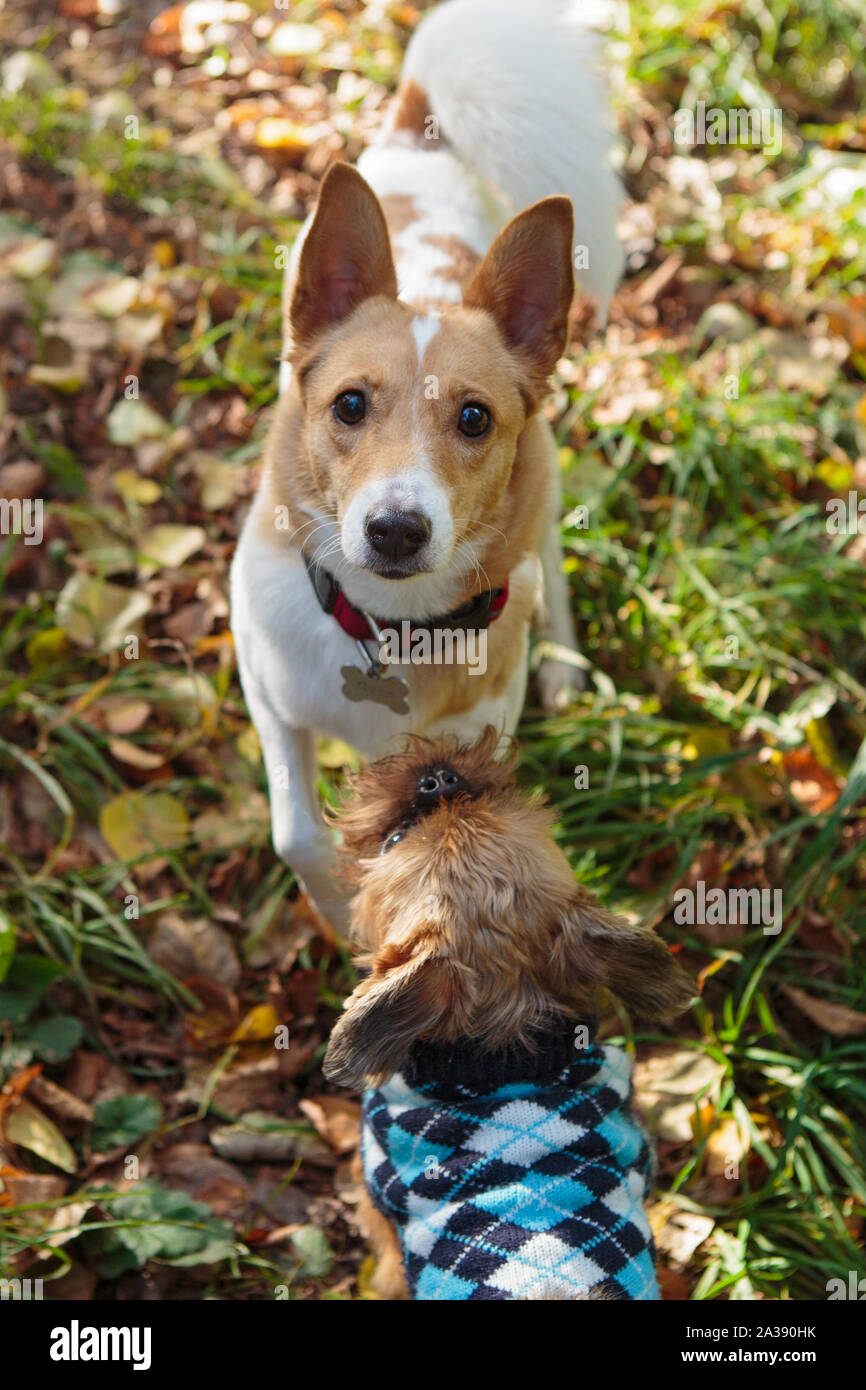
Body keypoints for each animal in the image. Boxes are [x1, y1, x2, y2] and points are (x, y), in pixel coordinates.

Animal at [230, 2, 622, 934]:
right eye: (348, 406)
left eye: (473, 417)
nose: (397, 530)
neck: (387, 626)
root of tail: (420, 133)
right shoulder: (263, 681)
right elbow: (298, 833)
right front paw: (339, 920)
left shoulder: (470, 758)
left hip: (547, 476)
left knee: (549, 559)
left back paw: (560, 660)